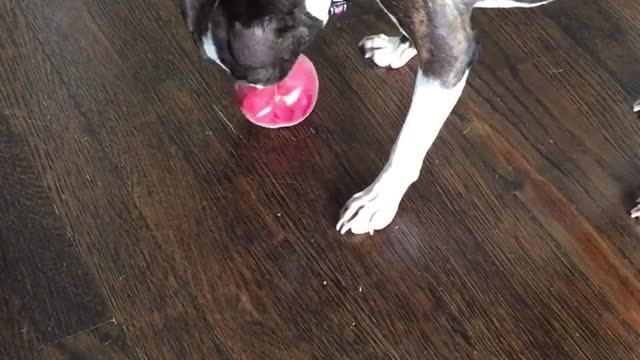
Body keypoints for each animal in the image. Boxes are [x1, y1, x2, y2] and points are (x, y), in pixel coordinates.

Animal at [180, 0, 640, 235]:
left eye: (254, 74)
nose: (256, 99)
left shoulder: (452, 55)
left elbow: (408, 144)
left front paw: (379, 199)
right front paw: (400, 47)